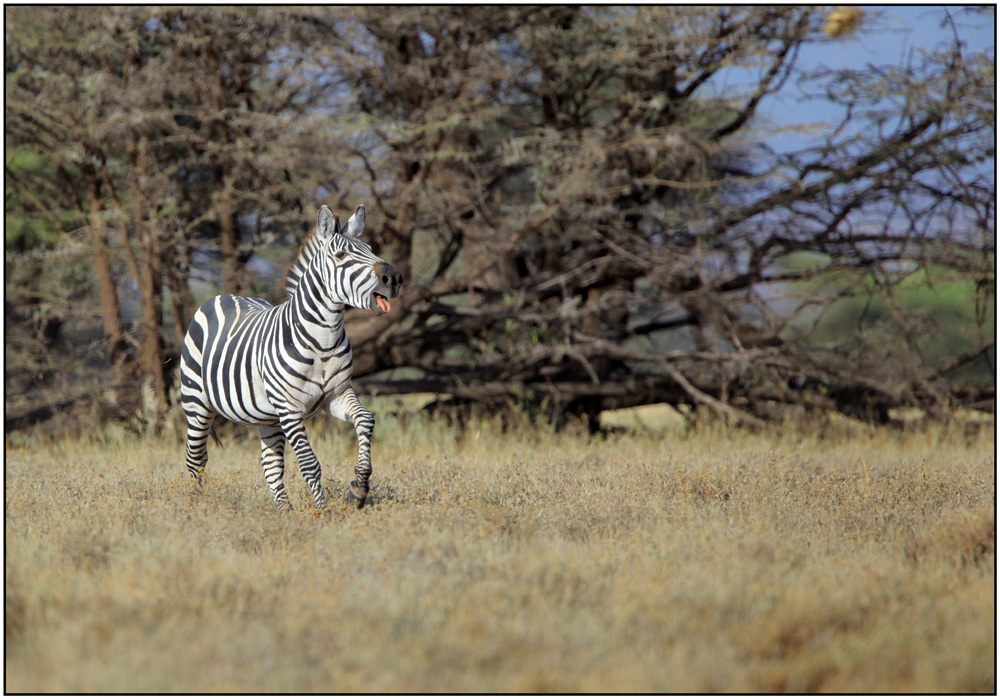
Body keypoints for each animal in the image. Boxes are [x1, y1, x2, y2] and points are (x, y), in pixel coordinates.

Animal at [180, 205, 402, 512]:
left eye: (370, 249)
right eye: (341, 256)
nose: (394, 278)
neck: (323, 343)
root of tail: (222, 296)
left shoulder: (337, 395)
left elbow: (365, 420)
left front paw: (359, 488)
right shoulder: (290, 408)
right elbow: (310, 464)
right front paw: (322, 512)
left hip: (267, 417)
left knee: (270, 465)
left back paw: (283, 510)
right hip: (197, 403)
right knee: (196, 458)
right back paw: (197, 504)